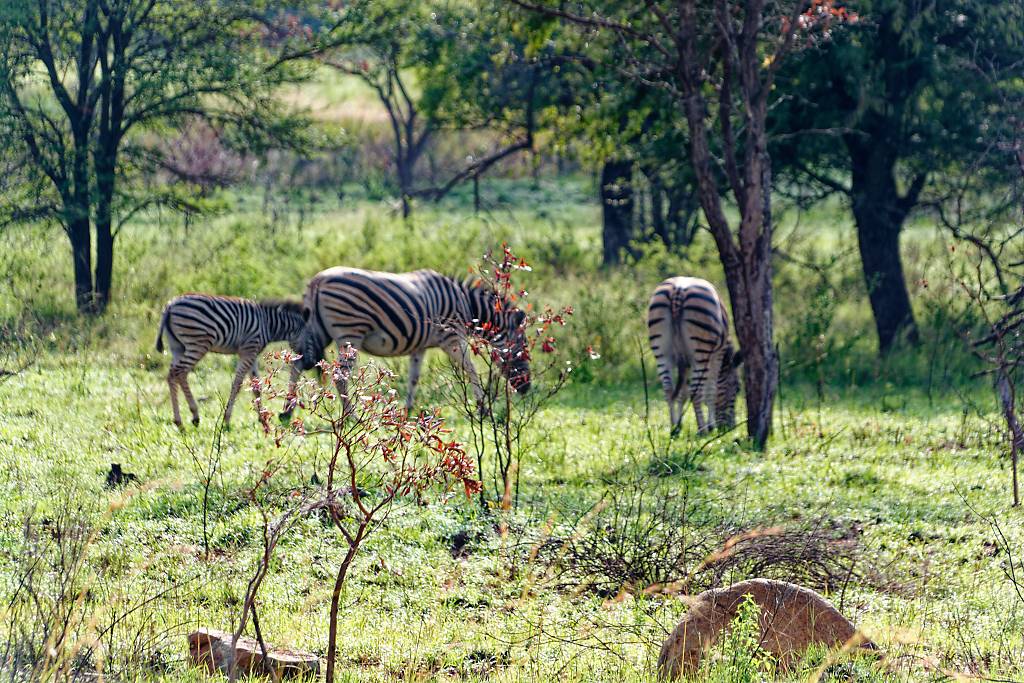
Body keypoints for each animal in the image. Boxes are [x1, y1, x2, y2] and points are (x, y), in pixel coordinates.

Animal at [151, 294, 303, 428]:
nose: (303, 358)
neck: (268, 324)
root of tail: (170, 306)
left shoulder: (252, 353)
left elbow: (256, 386)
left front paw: (262, 418)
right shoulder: (248, 349)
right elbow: (237, 384)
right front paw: (227, 419)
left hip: (177, 346)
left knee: (173, 375)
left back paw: (180, 421)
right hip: (198, 342)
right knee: (180, 372)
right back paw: (193, 416)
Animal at [282, 266, 532, 417]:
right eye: (523, 350)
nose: (526, 389)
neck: (467, 306)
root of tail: (317, 281)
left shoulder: (419, 346)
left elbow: (414, 377)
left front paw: (408, 410)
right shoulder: (451, 336)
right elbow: (471, 369)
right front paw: (483, 408)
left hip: (317, 330)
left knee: (297, 364)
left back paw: (287, 410)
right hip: (350, 333)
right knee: (340, 376)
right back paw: (350, 414)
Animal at [647, 280, 745, 436]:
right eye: (737, 389)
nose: (730, 428)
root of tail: (678, 290)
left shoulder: (686, 362)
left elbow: (683, 393)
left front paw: (679, 424)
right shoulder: (717, 355)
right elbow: (711, 390)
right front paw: (710, 425)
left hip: (661, 351)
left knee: (668, 389)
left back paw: (673, 428)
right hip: (701, 349)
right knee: (696, 392)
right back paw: (702, 429)